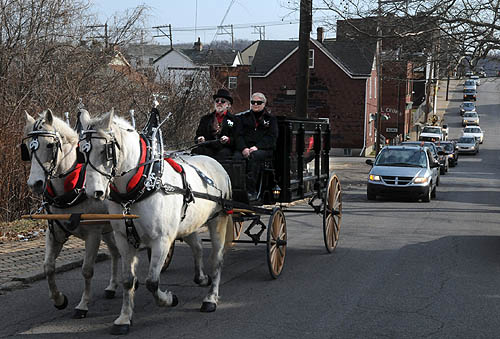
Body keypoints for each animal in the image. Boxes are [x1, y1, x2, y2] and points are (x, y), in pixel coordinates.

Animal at [23, 110, 120, 320]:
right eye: (27, 148)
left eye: (50, 145)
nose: (35, 183)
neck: (71, 188)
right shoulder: (55, 233)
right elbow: (48, 267)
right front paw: (59, 299)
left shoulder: (93, 233)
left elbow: (87, 270)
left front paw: (83, 305)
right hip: (108, 229)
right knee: (116, 253)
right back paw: (112, 287)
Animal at [79, 110, 232, 336]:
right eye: (81, 152)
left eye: (106, 151)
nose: (93, 192)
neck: (140, 186)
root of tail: (215, 163)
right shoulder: (124, 239)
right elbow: (128, 280)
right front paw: (124, 318)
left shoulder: (162, 240)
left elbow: (152, 282)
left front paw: (169, 299)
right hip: (189, 224)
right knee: (197, 247)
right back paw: (201, 278)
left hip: (218, 220)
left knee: (217, 259)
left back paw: (210, 298)